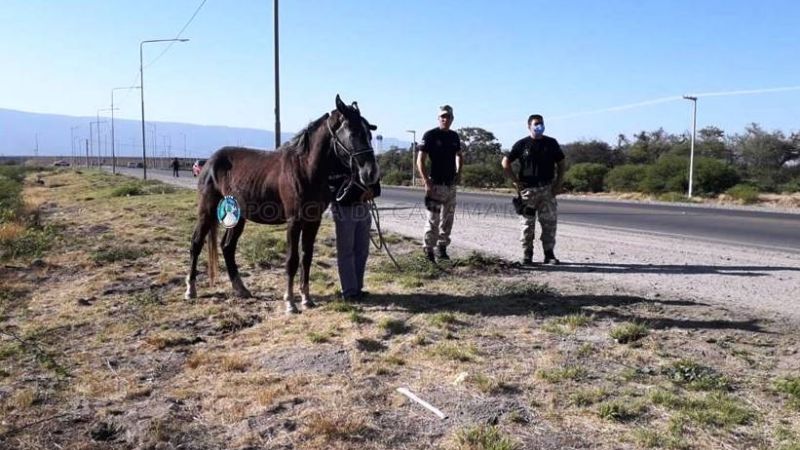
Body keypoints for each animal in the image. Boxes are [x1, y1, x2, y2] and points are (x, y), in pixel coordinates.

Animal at [184, 95, 380, 313]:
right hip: (207, 211)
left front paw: (306, 299)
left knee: (227, 247)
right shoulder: (294, 221)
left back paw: (241, 289)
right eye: (353, 132)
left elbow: (306, 257)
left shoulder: (313, 221)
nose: (371, 173)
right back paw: (191, 290)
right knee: (196, 243)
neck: (305, 168)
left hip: (238, 217)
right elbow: (292, 260)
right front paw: (290, 302)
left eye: (368, 134)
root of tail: (209, 162)